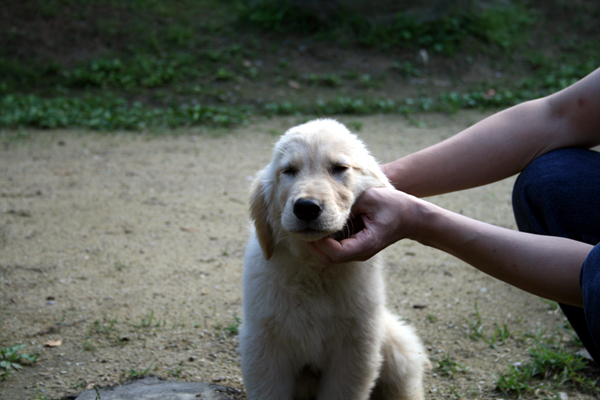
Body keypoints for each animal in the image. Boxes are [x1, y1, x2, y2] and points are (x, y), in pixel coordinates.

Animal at [241, 119, 428, 400]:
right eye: (289, 171)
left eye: (339, 168)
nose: (306, 207)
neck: (313, 271)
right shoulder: (264, 348)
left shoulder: (355, 350)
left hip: (396, 348)